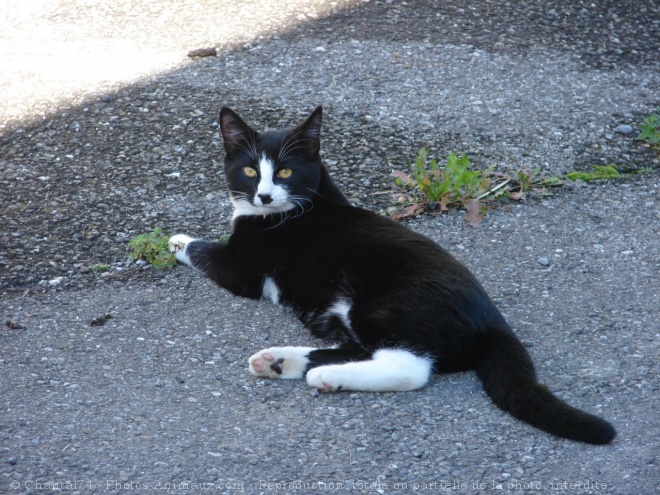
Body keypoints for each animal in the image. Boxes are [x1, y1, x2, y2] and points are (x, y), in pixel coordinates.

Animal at [168, 105, 616, 446]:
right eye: (248, 172)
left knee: (408, 366)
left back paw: (322, 375)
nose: (263, 195)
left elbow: (204, 252)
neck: (293, 208)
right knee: (358, 348)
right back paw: (279, 361)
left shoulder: (241, 268)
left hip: (385, 304)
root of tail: (493, 319)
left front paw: (176, 241)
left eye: (285, 173)